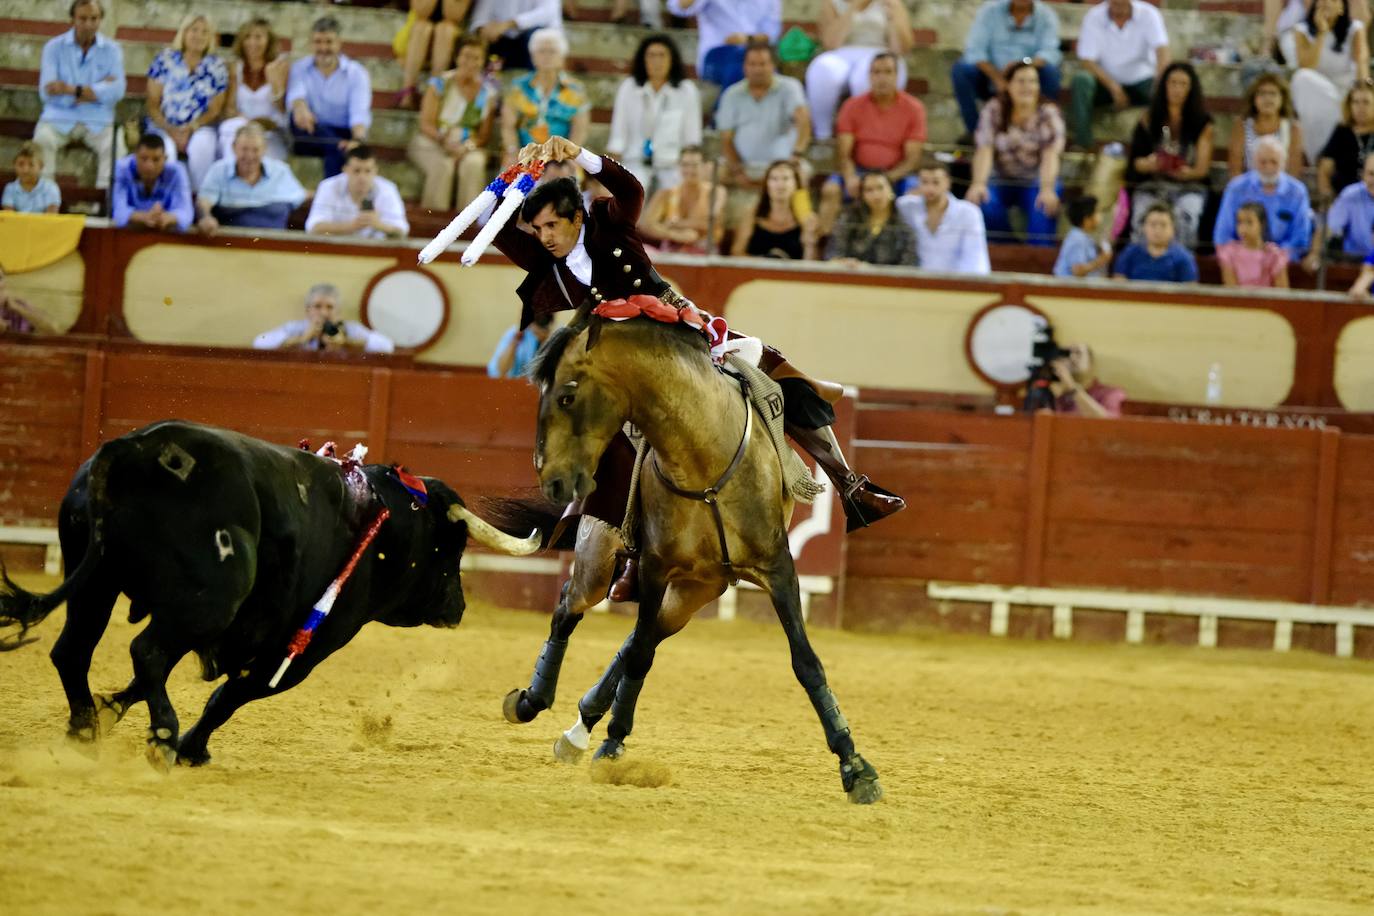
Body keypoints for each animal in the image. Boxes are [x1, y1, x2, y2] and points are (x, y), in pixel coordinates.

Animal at [0, 420, 535, 769]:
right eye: (452, 547)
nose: (458, 607)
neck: (386, 521)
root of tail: (137, 450)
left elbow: (157, 684)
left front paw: (112, 711)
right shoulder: (301, 651)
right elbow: (230, 696)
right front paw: (191, 749)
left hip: (97, 582)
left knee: (76, 650)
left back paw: (84, 729)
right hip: (210, 598)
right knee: (146, 651)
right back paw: (165, 738)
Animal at [502, 306, 879, 802]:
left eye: (566, 396)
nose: (554, 480)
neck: (704, 461)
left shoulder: (778, 568)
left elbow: (806, 662)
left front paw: (855, 766)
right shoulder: (655, 568)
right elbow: (640, 655)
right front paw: (613, 743)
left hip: (697, 590)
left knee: (638, 637)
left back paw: (581, 725)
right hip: (601, 563)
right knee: (571, 607)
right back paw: (535, 701)